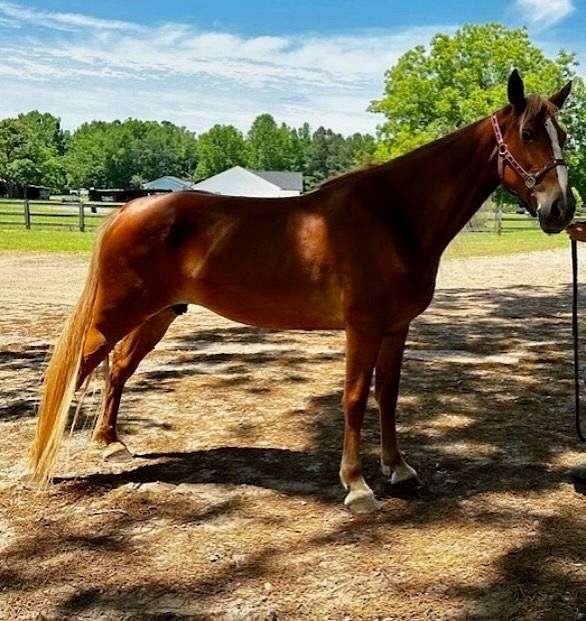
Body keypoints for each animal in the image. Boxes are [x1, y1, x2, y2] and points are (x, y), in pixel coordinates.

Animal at [30, 71, 572, 512]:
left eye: (563, 135)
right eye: (528, 134)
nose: (561, 209)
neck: (392, 216)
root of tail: (128, 209)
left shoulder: (396, 327)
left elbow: (389, 395)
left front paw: (398, 469)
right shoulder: (362, 327)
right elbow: (355, 397)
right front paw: (356, 485)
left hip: (158, 315)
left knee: (119, 368)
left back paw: (109, 443)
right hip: (114, 316)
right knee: (70, 374)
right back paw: (42, 468)